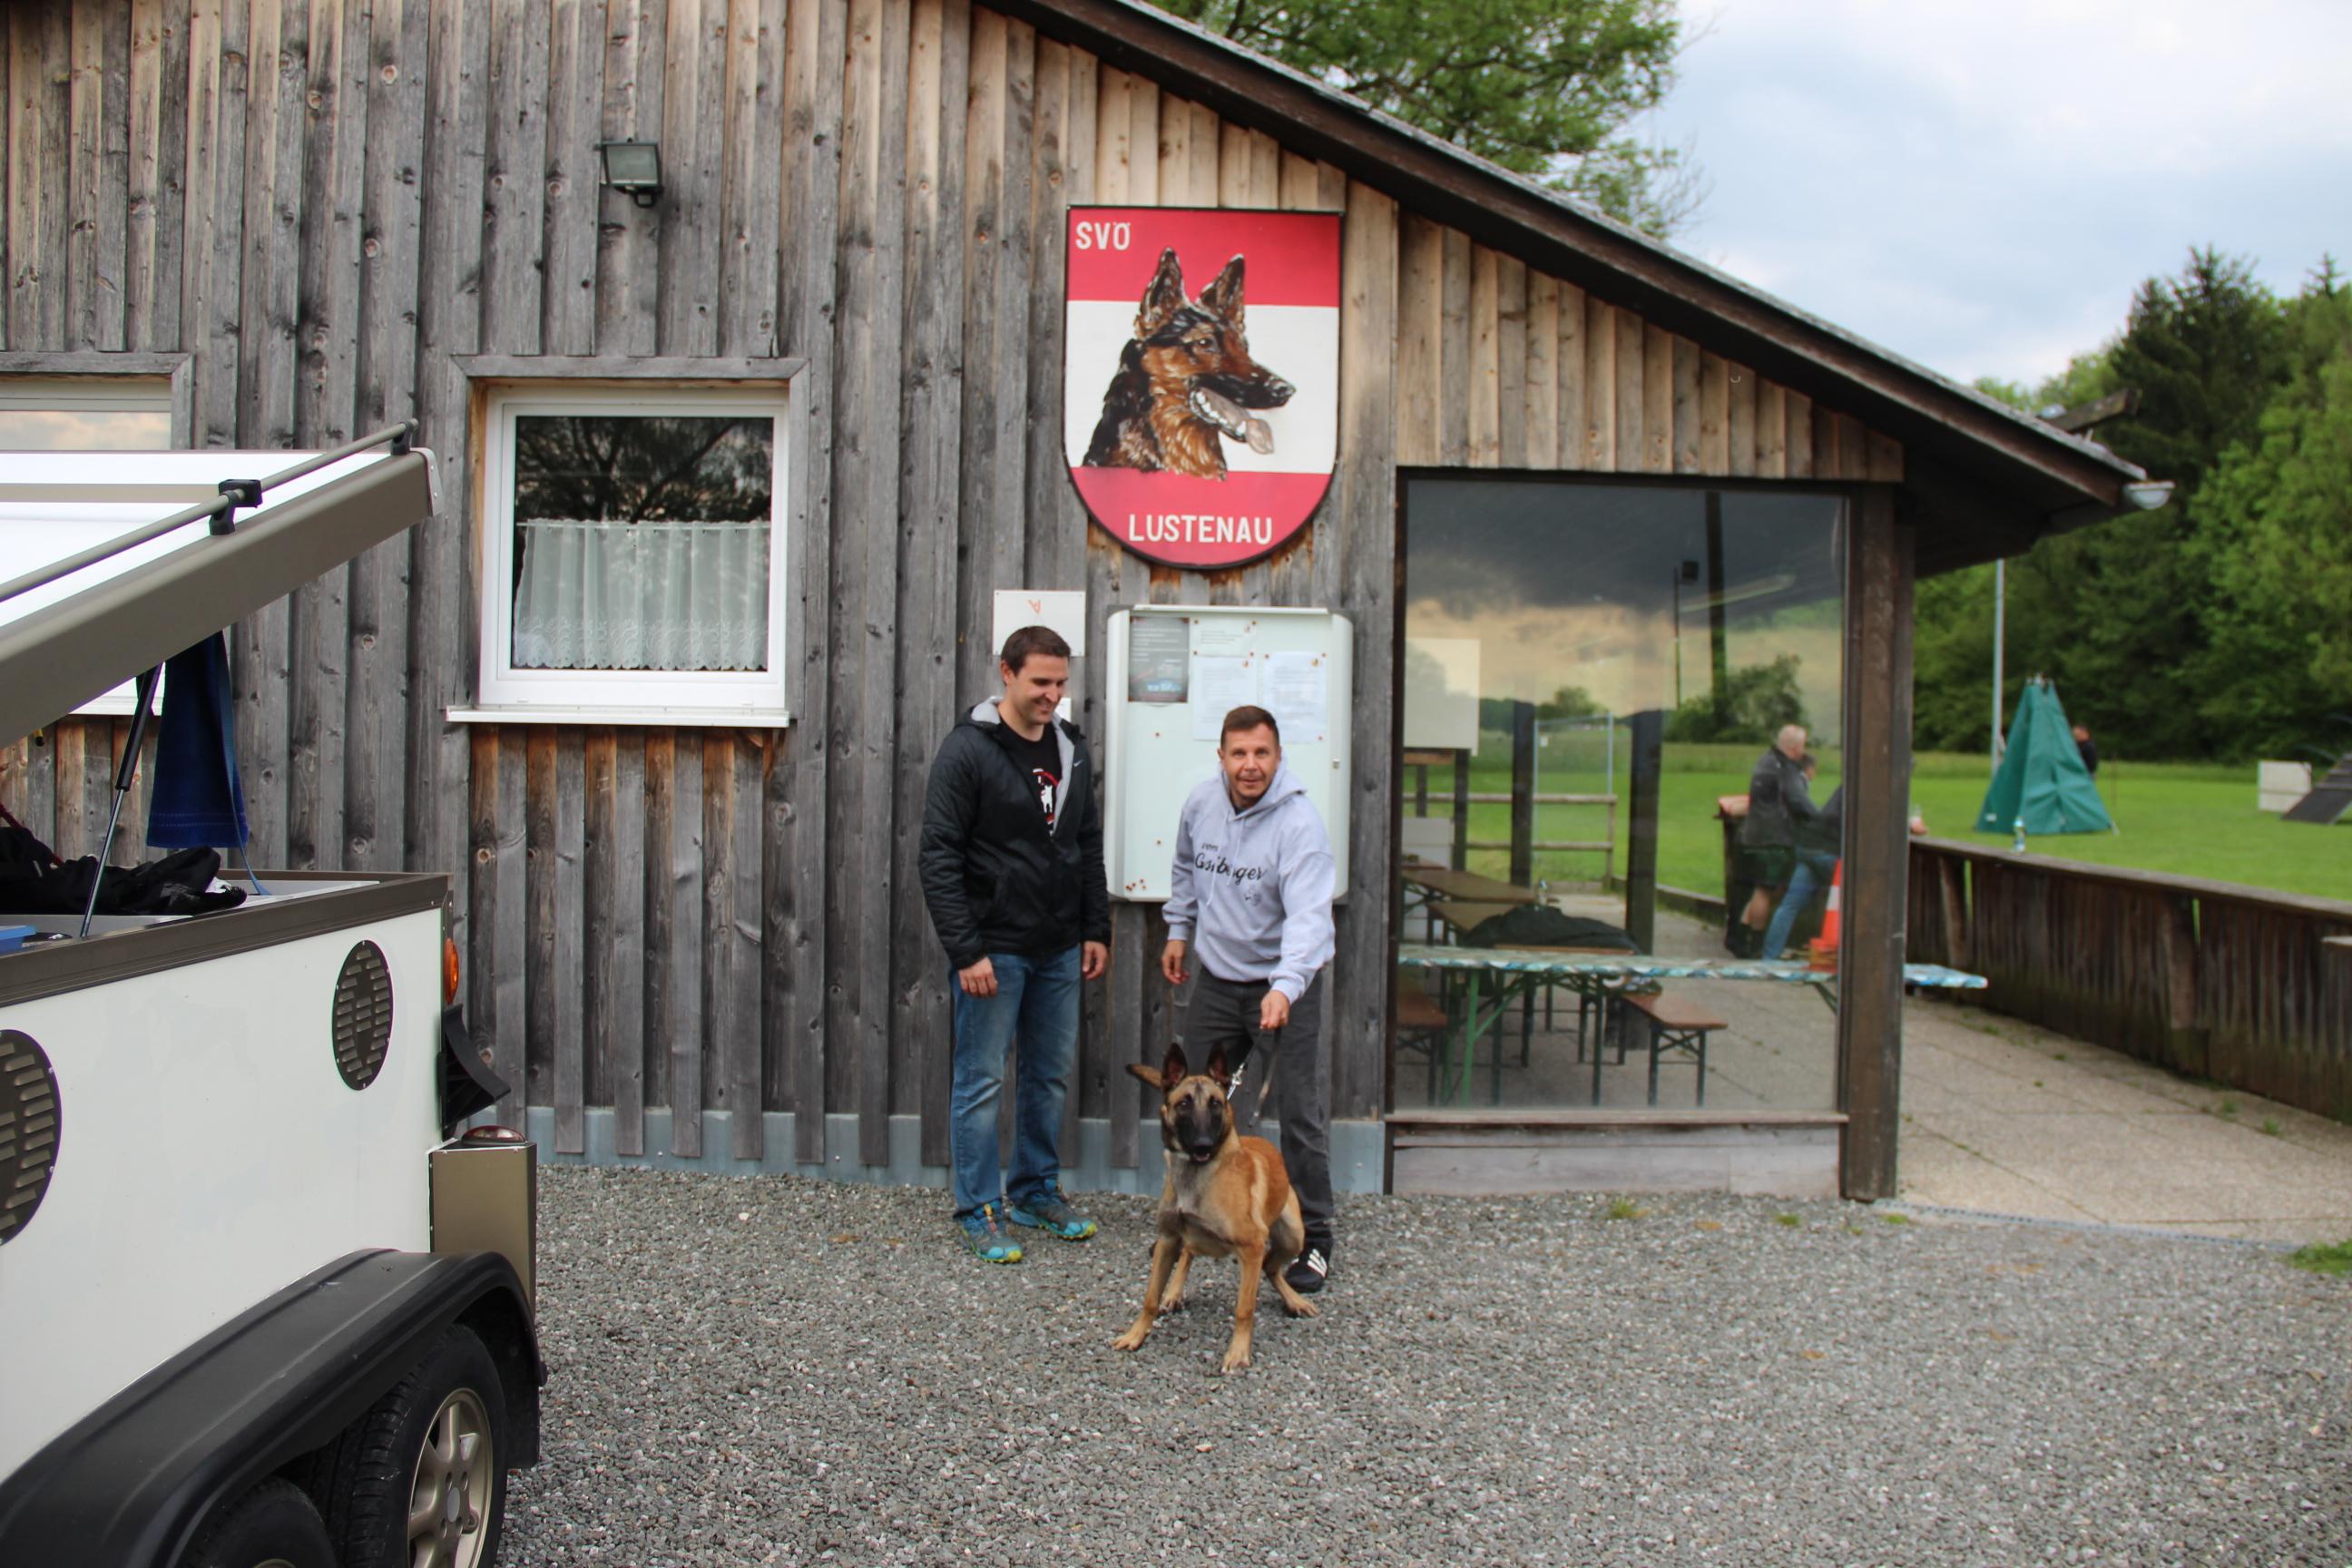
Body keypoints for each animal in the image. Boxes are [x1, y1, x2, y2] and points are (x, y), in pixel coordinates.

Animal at [1105, 1044, 1317, 1372]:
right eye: (1183, 1104)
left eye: (1216, 1104)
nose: (1203, 1145)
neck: (1196, 1175)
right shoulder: (1167, 1239)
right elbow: (1150, 1297)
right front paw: (1136, 1334)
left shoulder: (1252, 1246)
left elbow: (1244, 1307)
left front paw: (1238, 1352)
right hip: (1197, 1240)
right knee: (1190, 1253)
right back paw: (1174, 1292)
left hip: (1293, 1236)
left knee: (1269, 1266)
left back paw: (1294, 1300)